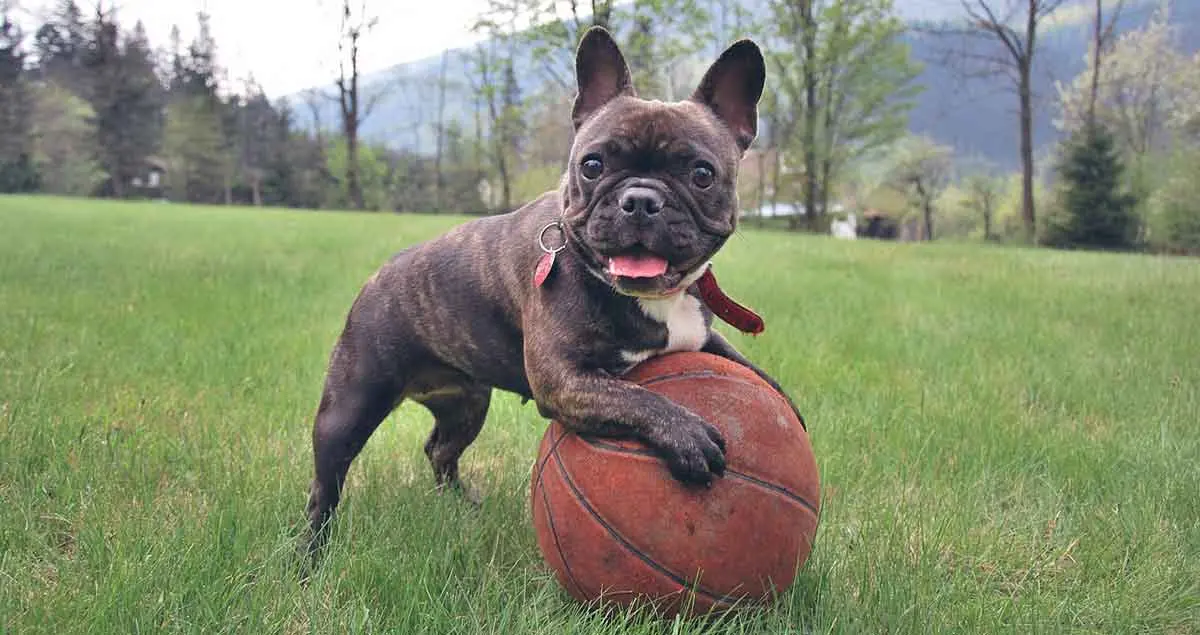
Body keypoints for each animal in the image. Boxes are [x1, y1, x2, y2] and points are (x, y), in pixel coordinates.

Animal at [302, 24, 806, 552]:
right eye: (592, 165)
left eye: (702, 174)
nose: (640, 199)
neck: (652, 297)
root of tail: (378, 276)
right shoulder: (564, 379)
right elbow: (635, 397)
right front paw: (686, 434)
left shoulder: (700, 335)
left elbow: (747, 367)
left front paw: (786, 406)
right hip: (351, 405)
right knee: (326, 484)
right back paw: (311, 553)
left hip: (467, 403)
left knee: (440, 449)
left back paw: (462, 506)